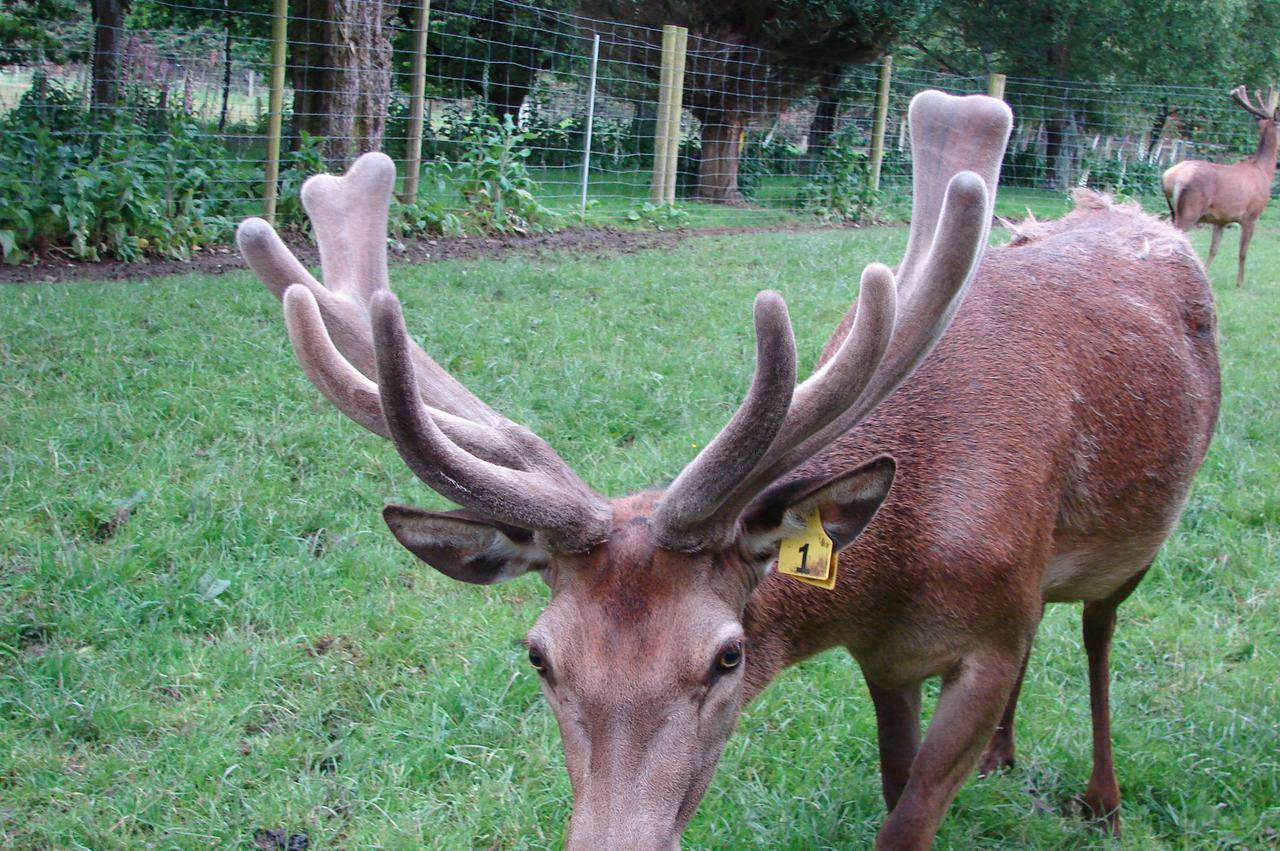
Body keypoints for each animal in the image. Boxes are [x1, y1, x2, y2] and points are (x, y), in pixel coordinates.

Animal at [240, 89, 1218, 844]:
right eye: (539, 656)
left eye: (727, 655)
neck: (906, 556)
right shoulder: (888, 662)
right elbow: (900, 784)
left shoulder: (991, 634)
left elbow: (909, 819)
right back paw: (1008, 755)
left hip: (1138, 545)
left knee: (1097, 632)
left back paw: (1103, 798)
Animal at [1167, 84, 1274, 286]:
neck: (1264, 171)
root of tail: (1171, 176)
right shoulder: (1251, 216)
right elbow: (1243, 252)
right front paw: (1240, 283)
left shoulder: (1221, 220)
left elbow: (1214, 249)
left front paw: (1206, 273)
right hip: (1190, 208)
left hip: (1173, 210)